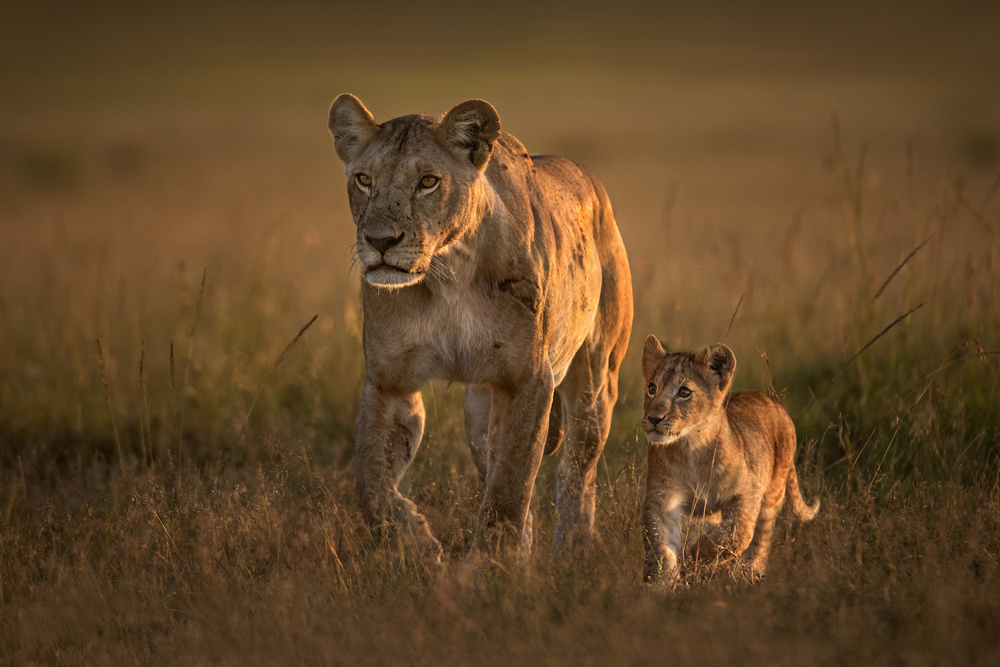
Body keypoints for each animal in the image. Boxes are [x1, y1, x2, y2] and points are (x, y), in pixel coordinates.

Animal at [327, 94, 633, 559]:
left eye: (428, 182)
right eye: (363, 179)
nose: (380, 241)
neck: (446, 274)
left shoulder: (528, 380)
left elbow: (509, 489)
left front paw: (490, 567)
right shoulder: (389, 382)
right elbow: (372, 485)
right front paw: (419, 546)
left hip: (596, 381)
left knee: (578, 471)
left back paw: (572, 551)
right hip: (479, 411)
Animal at [639, 335, 819, 583]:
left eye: (684, 392)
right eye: (651, 388)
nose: (654, 419)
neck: (690, 447)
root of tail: (773, 402)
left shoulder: (748, 490)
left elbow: (739, 531)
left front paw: (699, 552)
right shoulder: (663, 500)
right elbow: (660, 547)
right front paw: (661, 583)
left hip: (773, 491)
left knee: (761, 537)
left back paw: (748, 573)